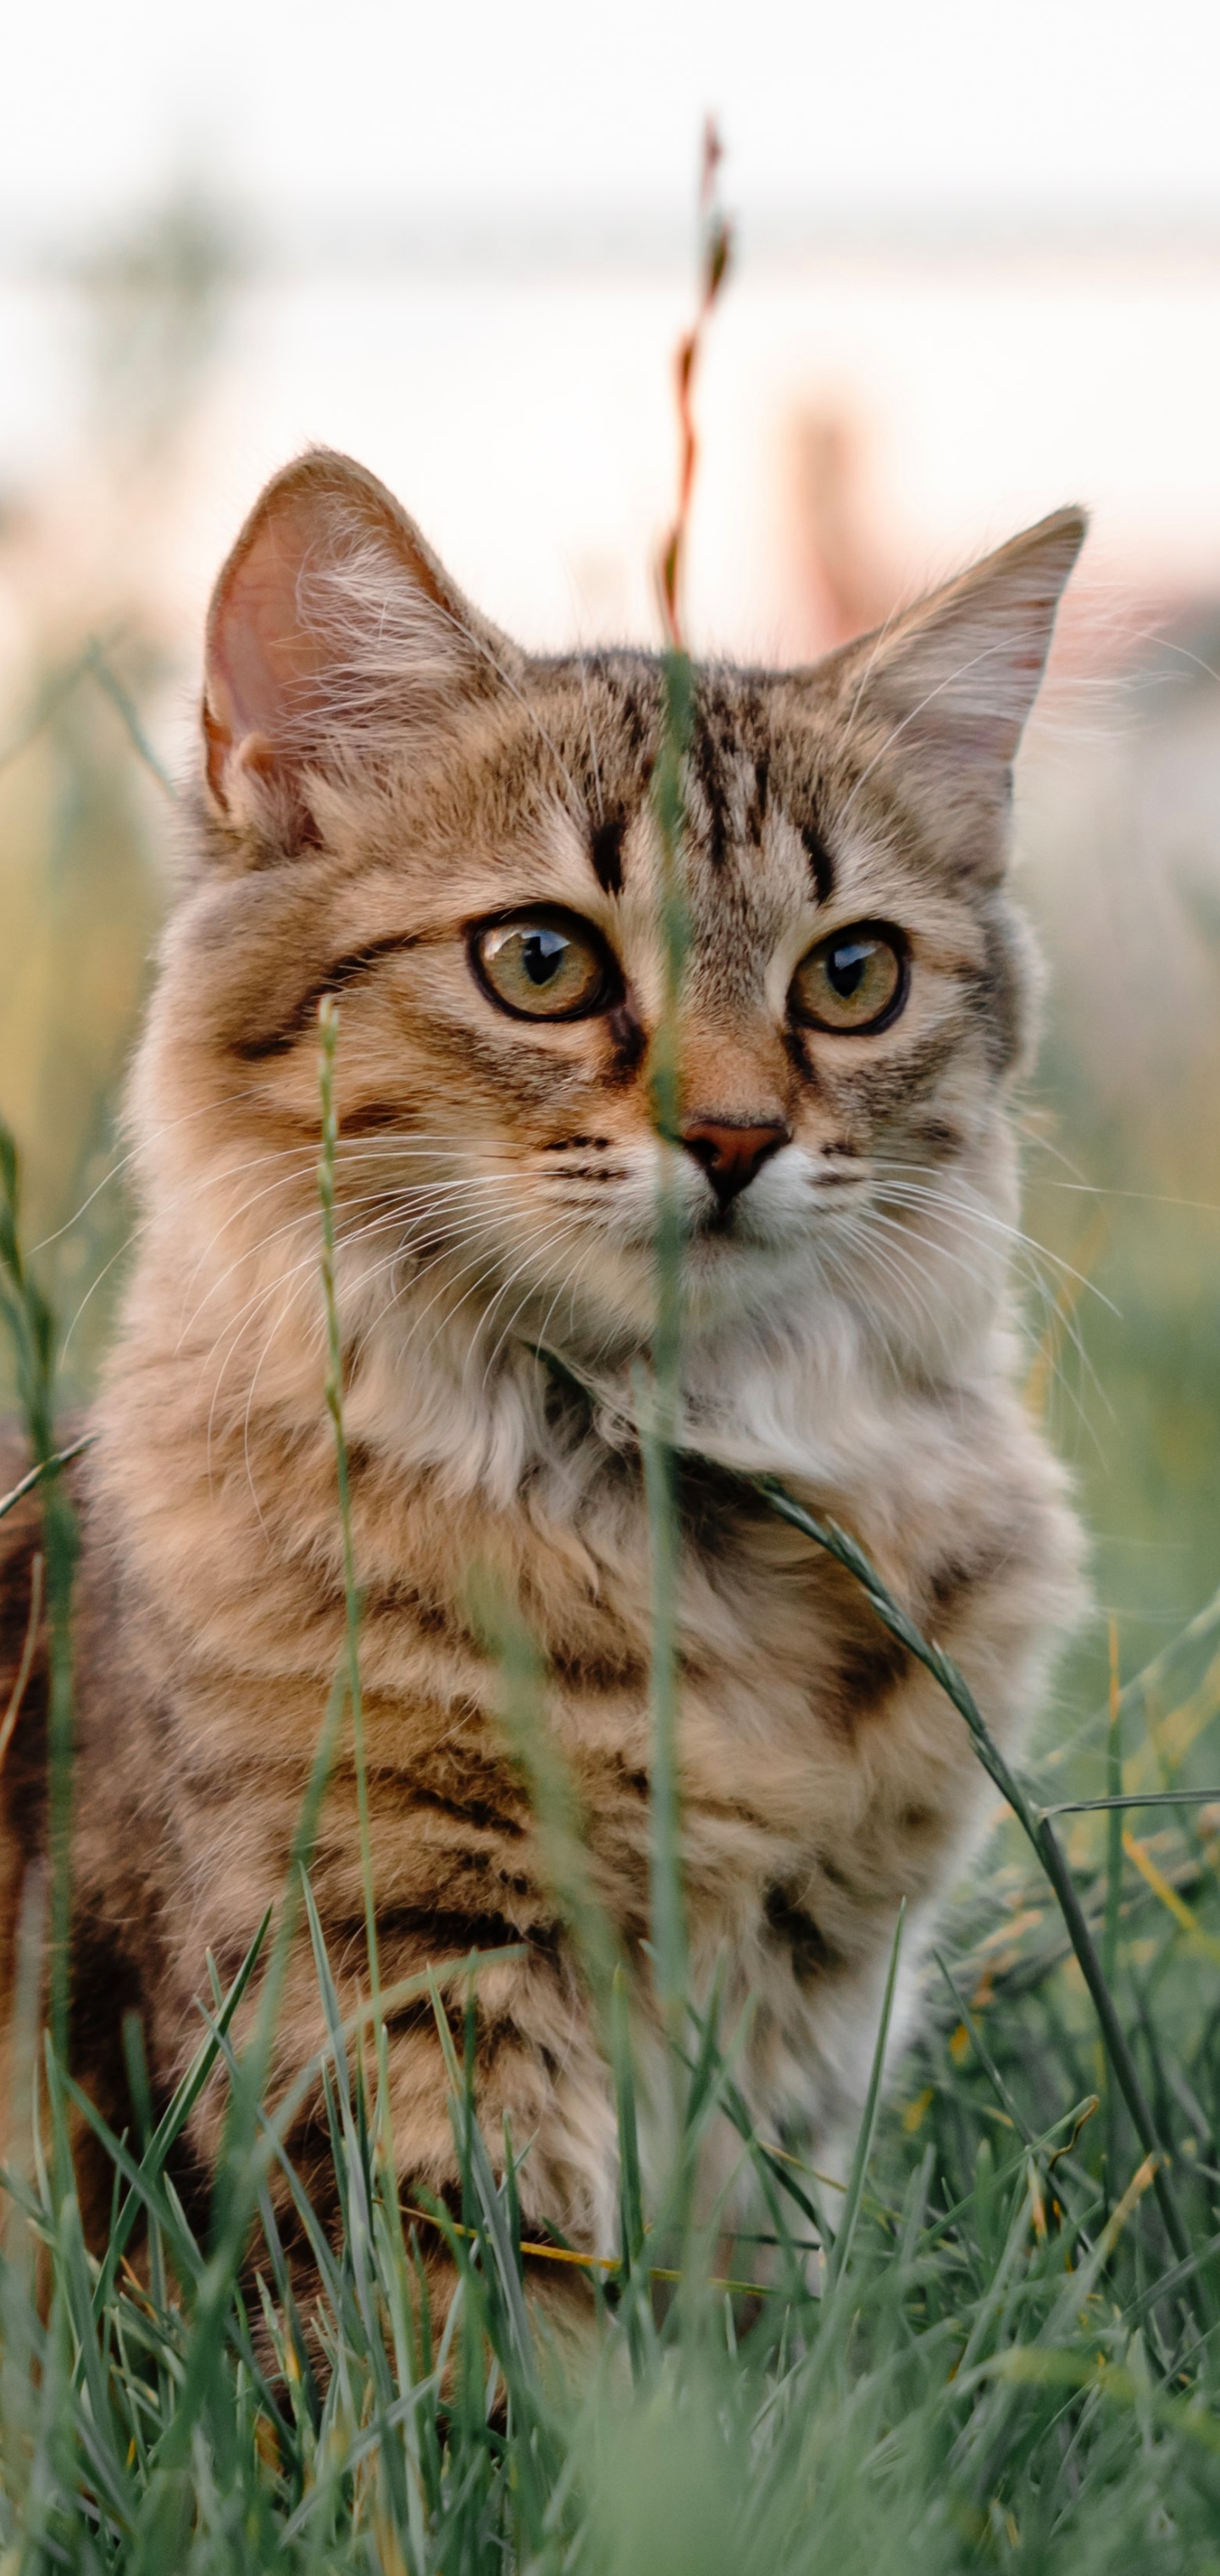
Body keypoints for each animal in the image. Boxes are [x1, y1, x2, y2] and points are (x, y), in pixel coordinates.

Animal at [0, 453, 1086, 2307]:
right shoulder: (382, 1984)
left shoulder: (806, 2035)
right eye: (542, 960)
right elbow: (481, 2335)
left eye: (852, 976)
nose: (736, 1136)